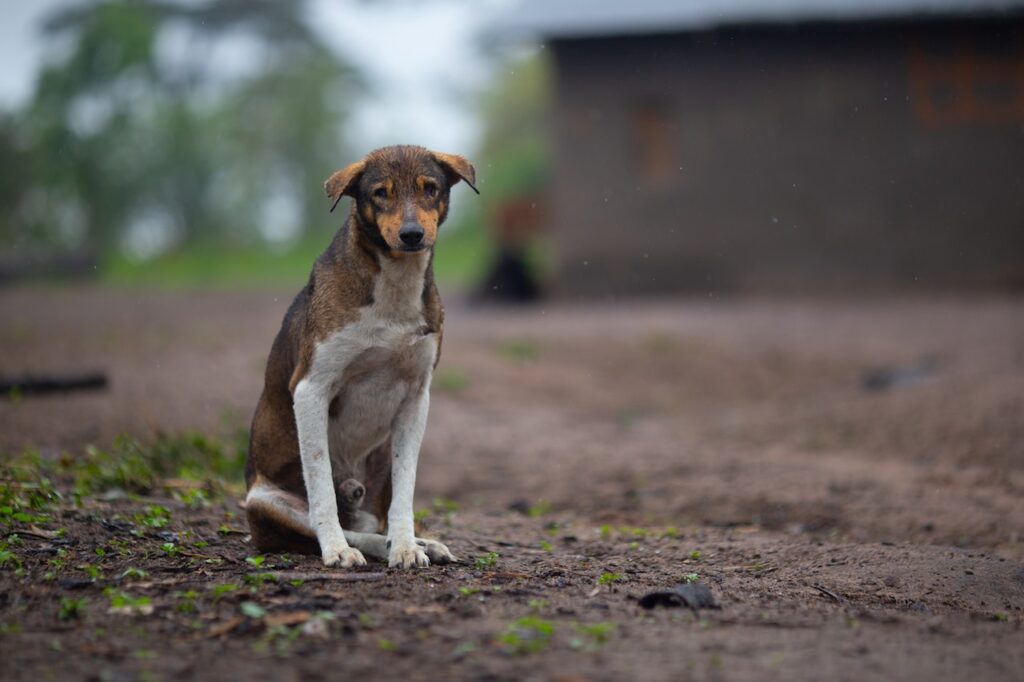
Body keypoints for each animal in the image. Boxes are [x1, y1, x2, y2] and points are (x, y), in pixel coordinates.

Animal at [242, 144, 475, 569]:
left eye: (430, 188)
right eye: (380, 193)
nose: (412, 234)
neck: (395, 284)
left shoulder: (416, 397)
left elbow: (405, 491)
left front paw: (405, 546)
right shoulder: (311, 389)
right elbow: (321, 491)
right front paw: (336, 549)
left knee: (372, 522)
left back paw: (420, 544)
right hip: (266, 503)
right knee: (338, 526)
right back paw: (350, 545)